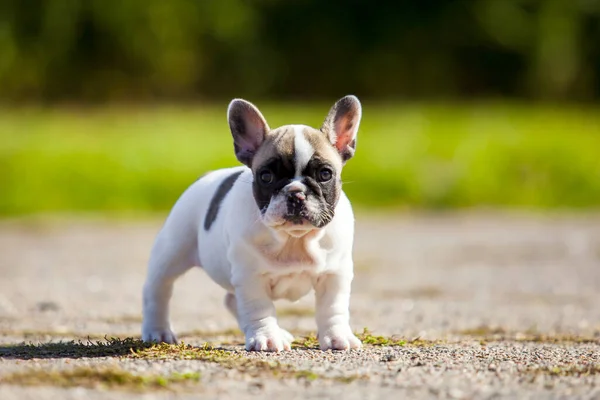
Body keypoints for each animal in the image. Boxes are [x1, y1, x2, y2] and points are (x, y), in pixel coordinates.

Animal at [143, 95, 364, 352]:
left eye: (325, 174)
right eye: (266, 176)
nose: (296, 193)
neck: (294, 239)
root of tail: (204, 177)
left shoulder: (334, 274)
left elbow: (332, 308)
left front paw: (337, 336)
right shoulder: (250, 278)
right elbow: (260, 308)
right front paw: (266, 337)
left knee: (230, 299)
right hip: (172, 251)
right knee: (158, 290)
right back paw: (157, 331)